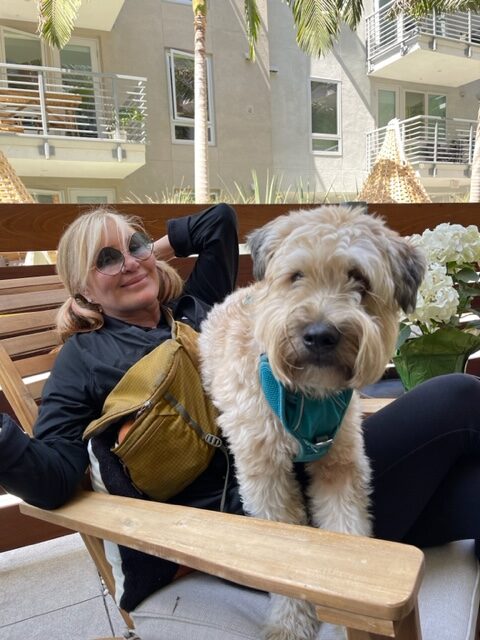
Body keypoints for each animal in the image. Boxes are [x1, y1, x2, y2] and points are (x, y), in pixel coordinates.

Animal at [198, 206, 424, 640]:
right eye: (296, 275)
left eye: (359, 279)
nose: (320, 335)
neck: (305, 394)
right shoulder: (264, 472)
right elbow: (285, 556)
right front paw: (290, 620)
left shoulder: (341, 462)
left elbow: (345, 530)